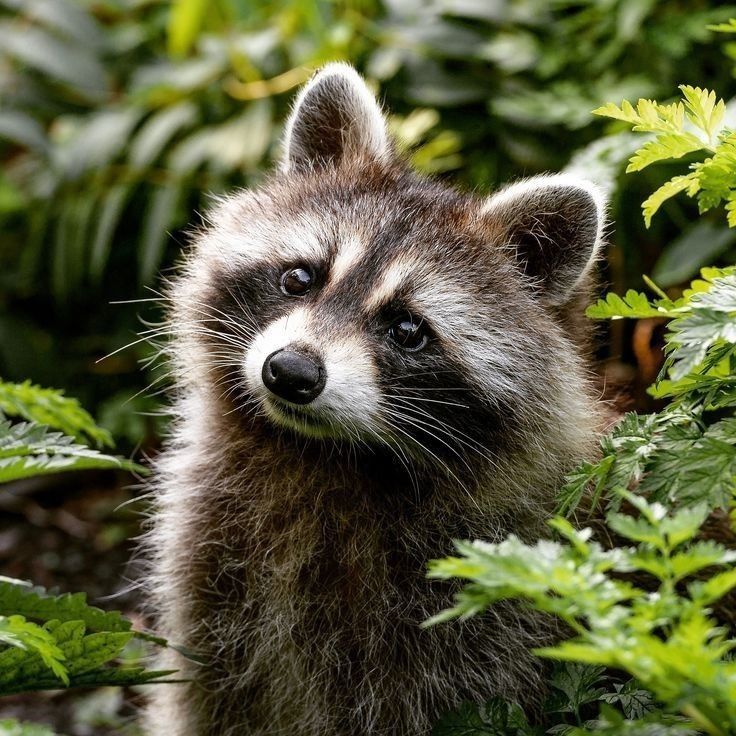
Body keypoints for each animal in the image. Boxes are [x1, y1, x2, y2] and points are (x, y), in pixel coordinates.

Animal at [141, 64, 608, 736]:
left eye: (408, 330)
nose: (289, 372)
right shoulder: (211, 565)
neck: (324, 460)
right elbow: (207, 699)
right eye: (299, 278)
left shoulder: (485, 620)